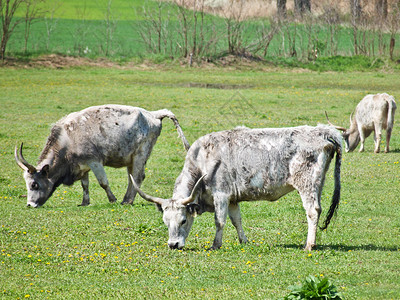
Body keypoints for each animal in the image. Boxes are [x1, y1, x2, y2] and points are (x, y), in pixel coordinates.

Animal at [15, 104, 191, 207]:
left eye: (34, 184)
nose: (29, 204)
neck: (67, 139)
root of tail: (153, 114)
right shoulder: (82, 165)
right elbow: (85, 185)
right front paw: (85, 202)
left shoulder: (95, 161)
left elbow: (103, 182)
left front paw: (112, 199)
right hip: (131, 158)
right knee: (132, 179)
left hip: (140, 155)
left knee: (137, 177)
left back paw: (127, 201)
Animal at [130, 124, 340, 251]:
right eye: (166, 221)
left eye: (183, 220)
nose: (173, 244)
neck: (202, 161)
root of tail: (323, 132)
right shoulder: (232, 199)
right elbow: (236, 220)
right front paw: (244, 241)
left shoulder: (221, 195)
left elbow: (220, 221)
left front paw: (216, 245)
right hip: (318, 185)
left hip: (306, 185)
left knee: (312, 212)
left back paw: (309, 245)